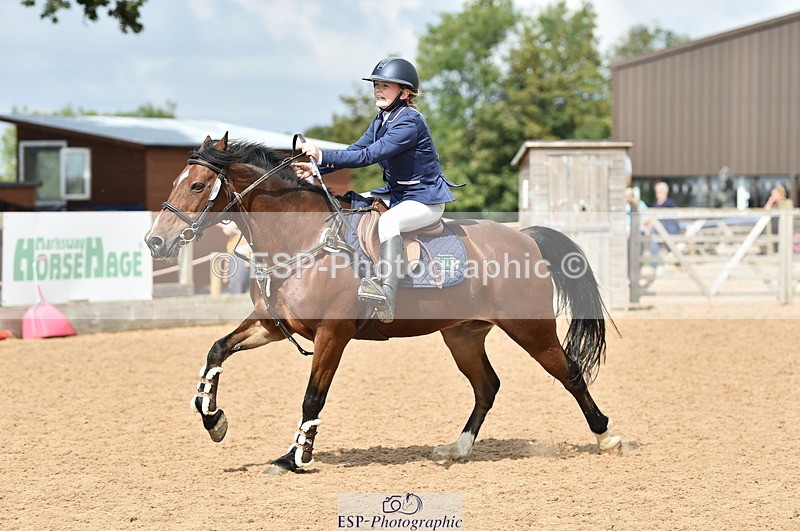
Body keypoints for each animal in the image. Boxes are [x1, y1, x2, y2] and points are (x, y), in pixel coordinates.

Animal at [145, 134, 622, 475]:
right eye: (176, 182)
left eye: (199, 185)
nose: (155, 242)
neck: (301, 239)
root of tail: (525, 237)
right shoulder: (269, 325)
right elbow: (216, 351)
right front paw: (213, 418)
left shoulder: (332, 335)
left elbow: (312, 398)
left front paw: (295, 458)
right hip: (463, 336)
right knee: (487, 386)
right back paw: (457, 448)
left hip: (531, 330)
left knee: (570, 374)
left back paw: (606, 437)